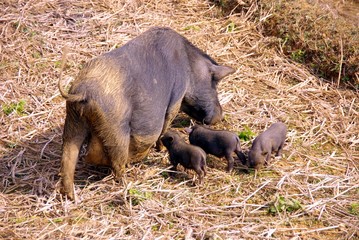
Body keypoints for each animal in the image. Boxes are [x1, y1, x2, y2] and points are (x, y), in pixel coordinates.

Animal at [57, 26, 235, 200]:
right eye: (214, 84)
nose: (221, 115)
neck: (189, 66)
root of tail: (83, 93)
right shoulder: (175, 100)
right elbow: (165, 124)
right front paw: (161, 149)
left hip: (73, 120)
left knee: (68, 157)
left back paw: (70, 197)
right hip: (116, 129)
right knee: (113, 161)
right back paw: (127, 181)